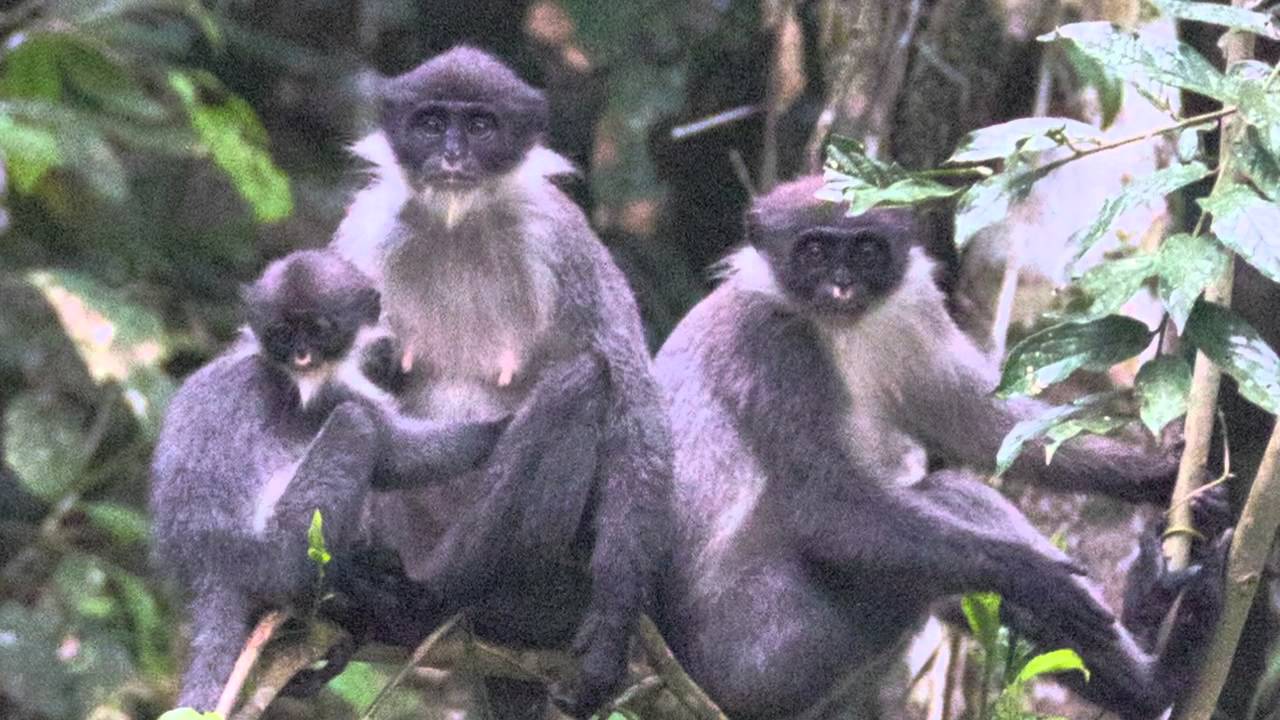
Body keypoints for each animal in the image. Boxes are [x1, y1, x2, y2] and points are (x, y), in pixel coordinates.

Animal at [149, 250, 508, 711]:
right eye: (284, 334)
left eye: (318, 331)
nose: (302, 357)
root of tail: (213, 559)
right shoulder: (323, 391)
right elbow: (395, 455)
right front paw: (505, 426)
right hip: (284, 544)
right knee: (355, 426)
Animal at [327, 46, 673, 718]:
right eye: (432, 123)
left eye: (481, 126)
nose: (452, 155)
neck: (458, 226)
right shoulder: (364, 233)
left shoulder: (560, 238)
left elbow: (636, 409)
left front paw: (611, 631)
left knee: (583, 383)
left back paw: (429, 605)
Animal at [649, 176, 1222, 719]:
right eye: (812, 251)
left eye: (865, 250)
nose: (841, 286)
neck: (837, 328)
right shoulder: (771, 340)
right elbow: (827, 507)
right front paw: (1034, 576)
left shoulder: (912, 312)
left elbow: (982, 428)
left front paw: (1159, 475)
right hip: (768, 653)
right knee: (939, 509)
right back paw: (1159, 675)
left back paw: (1151, 662)